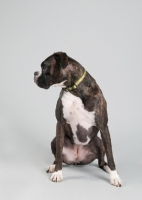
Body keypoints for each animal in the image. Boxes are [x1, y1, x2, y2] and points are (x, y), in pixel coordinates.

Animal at [33, 52, 121, 187]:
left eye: (44, 67)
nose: (35, 73)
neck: (73, 89)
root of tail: (77, 159)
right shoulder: (60, 124)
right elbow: (59, 155)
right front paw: (58, 173)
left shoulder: (103, 126)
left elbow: (111, 156)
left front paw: (114, 177)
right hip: (54, 140)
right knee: (57, 156)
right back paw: (53, 166)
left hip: (100, 142)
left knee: (101, 162)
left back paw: (107, 169)